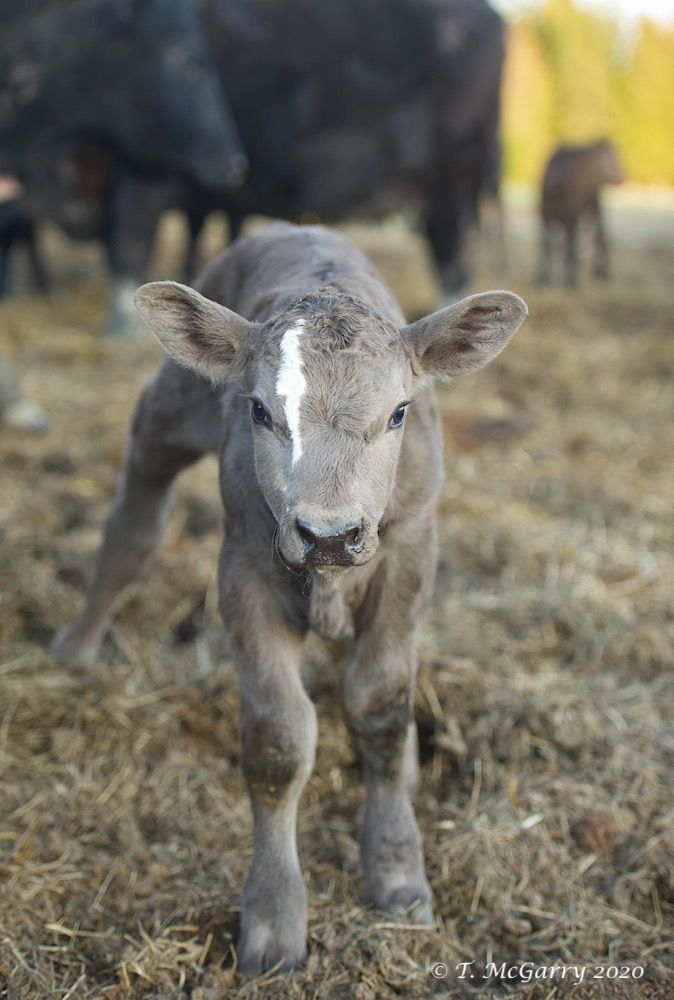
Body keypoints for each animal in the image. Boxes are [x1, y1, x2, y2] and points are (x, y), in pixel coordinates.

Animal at [52, 222, 527, 974]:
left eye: (399, 413)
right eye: (258, 410)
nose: (328, 533)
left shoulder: (410, 551)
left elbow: (380, 701)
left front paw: (398, 875)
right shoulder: (245, 566)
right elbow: (278, 739)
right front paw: (274, 923)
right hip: (167, 407)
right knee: (134, 523)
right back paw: (75, 649)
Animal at [537, 140, 625, 288]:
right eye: (606, 157)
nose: (622, 177)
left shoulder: (572, 216)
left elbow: (571, 247)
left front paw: (572, 281)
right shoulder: (546, 215)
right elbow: (547, 245)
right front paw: (543, 278)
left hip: (593, 210)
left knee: (599, 235)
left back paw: (601, 271)